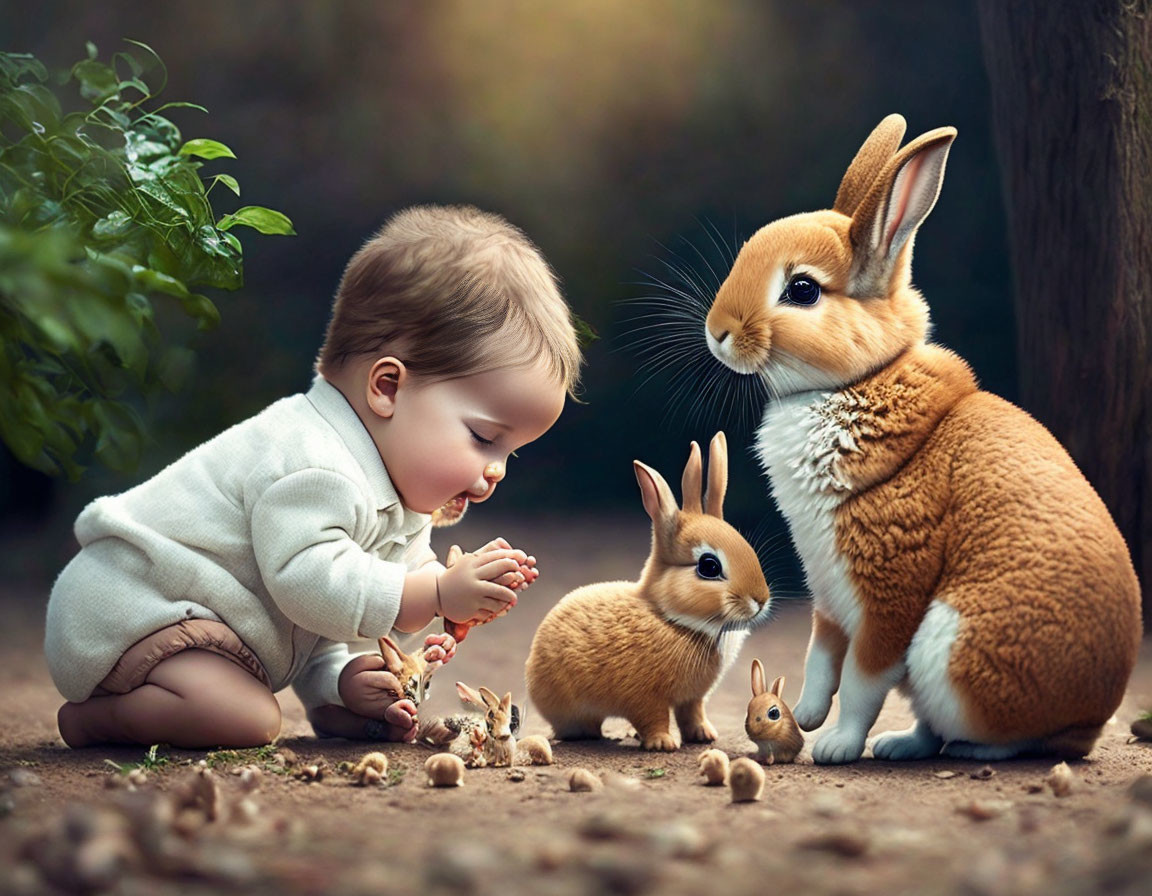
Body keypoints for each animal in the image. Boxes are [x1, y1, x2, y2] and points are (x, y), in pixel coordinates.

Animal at [705, 113, 1138, 760]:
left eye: (802, 290)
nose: (717, 331)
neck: (858, 381)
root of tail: (1092, 716)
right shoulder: (829, 594)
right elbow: (821, 660)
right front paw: (805, 717)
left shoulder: (889, 590)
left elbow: (863, 679)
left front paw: (835, 746)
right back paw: (900, 745)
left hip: (951, 648)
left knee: (1008, 736)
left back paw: (963, 750)